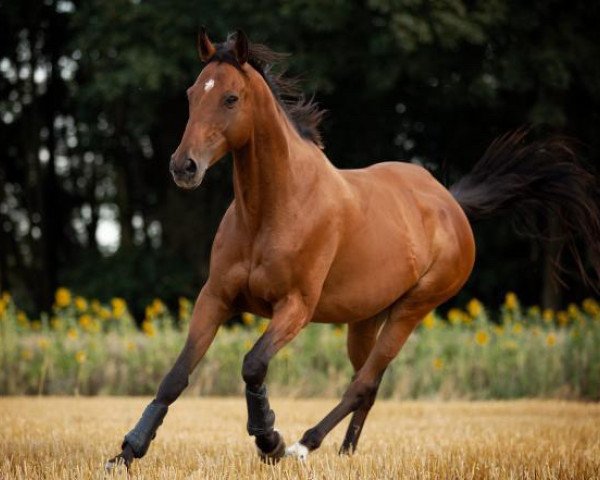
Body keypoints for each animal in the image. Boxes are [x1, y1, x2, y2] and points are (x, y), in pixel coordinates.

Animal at [105, 27, 596, 468]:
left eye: (230, 98)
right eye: (192, 94)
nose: (183, 167)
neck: (273, 208)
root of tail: (450, 202)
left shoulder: (296, 307)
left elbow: (252, 364)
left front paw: (269, 440)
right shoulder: (216, 297)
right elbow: (175, 376)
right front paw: (127, 452)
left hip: (412, 310)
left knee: (362, 383)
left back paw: (304, 446)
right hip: (366, 319)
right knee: (369, 383)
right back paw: (345, 452)